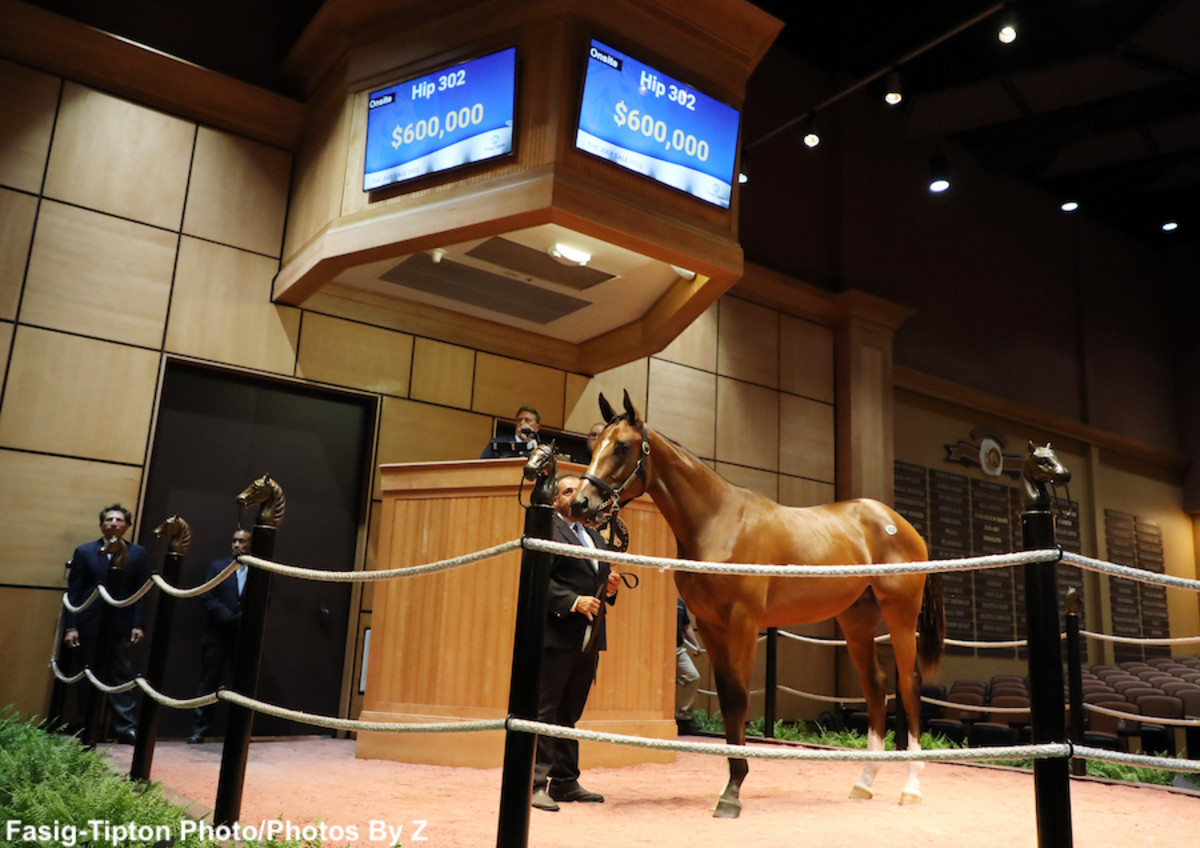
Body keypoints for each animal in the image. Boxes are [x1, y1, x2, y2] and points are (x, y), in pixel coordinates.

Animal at [571, 395, 945, 820]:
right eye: (593, 445)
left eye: (622, 447)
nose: (580, 503)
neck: (719, 521)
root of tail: (901, 525)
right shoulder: (711, 626)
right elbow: (728, 701)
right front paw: (728, 786)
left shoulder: (744, 623)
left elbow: (737, 698)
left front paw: (733, 794)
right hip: (857, 621)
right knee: (875, 688)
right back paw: (864, 782)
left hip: (901, 615)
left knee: (908, 685)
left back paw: (911, 787)